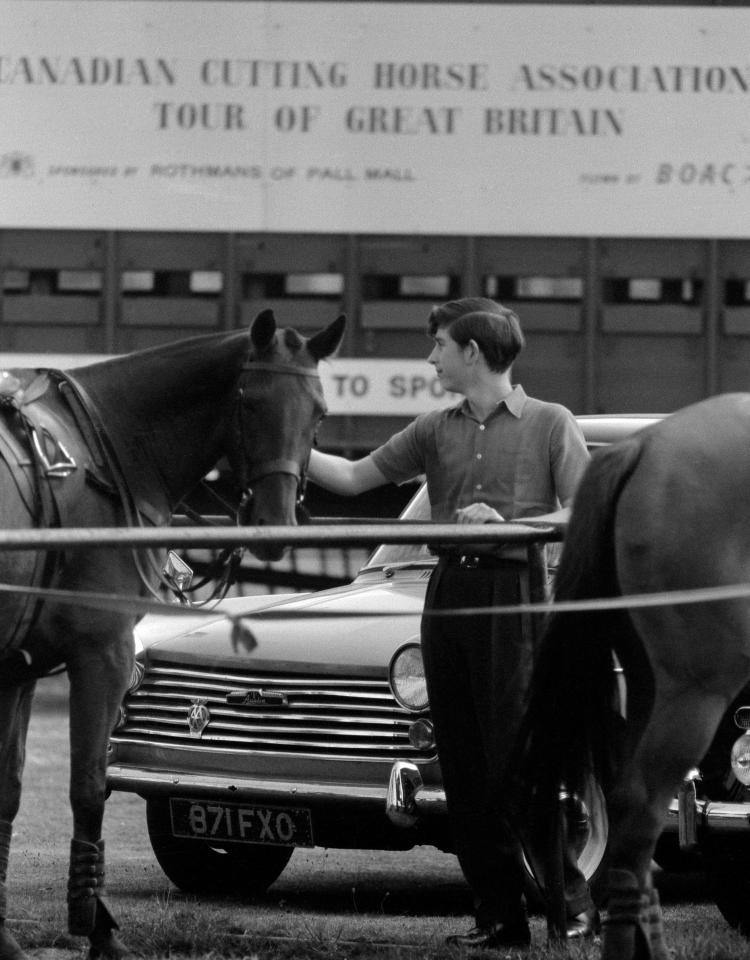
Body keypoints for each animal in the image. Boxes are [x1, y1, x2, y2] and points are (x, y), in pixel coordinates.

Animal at [0, 310, 346, 960]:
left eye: (319, 412)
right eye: (249, 402)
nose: (276, 523)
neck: (107, 447)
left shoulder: (18, 668)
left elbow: (7, 790)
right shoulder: (103, 654)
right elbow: (89, 788)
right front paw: (98, 926)